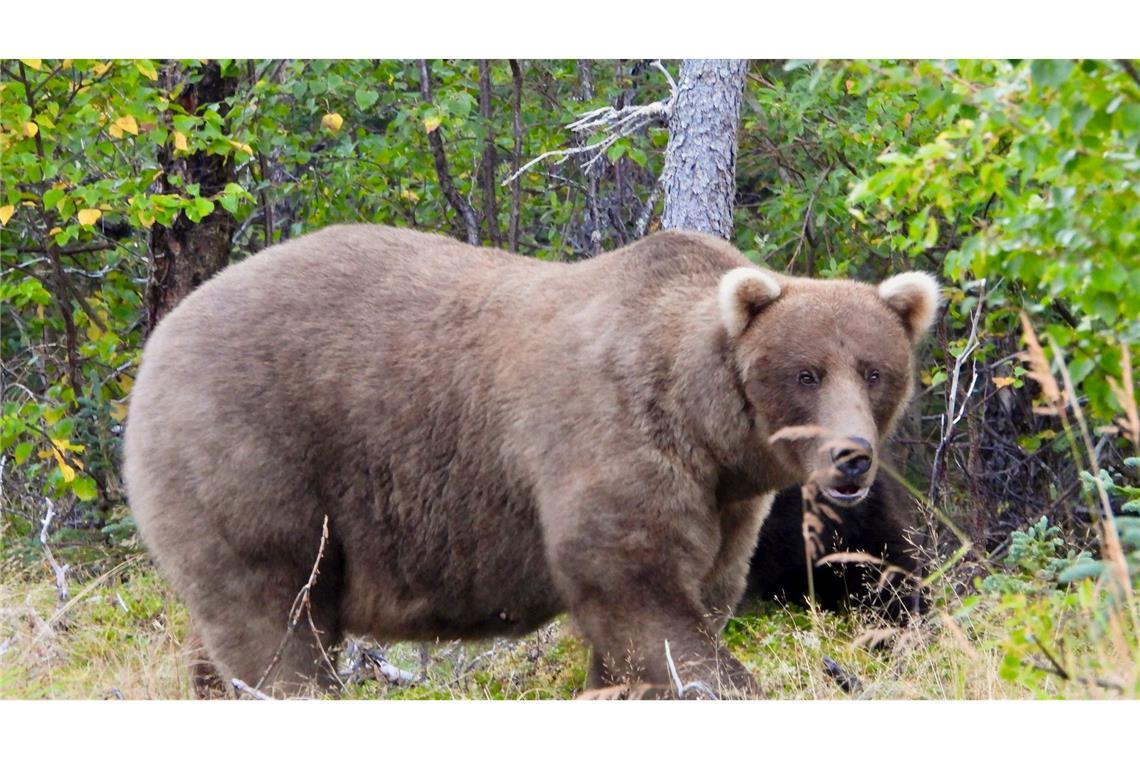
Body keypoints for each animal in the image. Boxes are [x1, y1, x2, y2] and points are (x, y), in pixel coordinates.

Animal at [122, 223, 934, 697]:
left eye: (873, 371)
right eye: (805, 373)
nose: (852, 457)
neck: (705, 425)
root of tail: (165, 329)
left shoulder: (728, 502)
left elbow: (697, 591)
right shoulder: (611, 433)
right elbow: (637, 587)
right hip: (255, 450)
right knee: (275, 613)